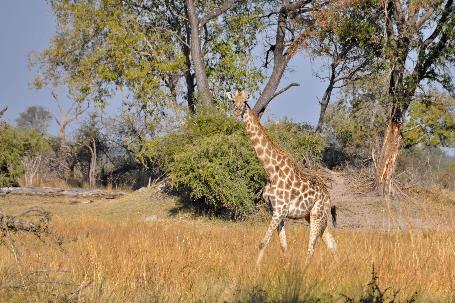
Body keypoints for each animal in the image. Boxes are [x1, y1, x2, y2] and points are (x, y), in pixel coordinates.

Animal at [226, 91, 336, 268]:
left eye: (244, 101)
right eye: (232, 101)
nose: (236, 111)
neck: (271, 171)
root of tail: (328, 196)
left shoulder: (279, 211)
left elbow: (263, 242)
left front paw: (256, 269)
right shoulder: (275, 210)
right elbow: (284, 246)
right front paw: (286, 268)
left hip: (317, 214)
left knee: (311, 247)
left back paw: (304, 270)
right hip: (314, 216)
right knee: (331, 243)